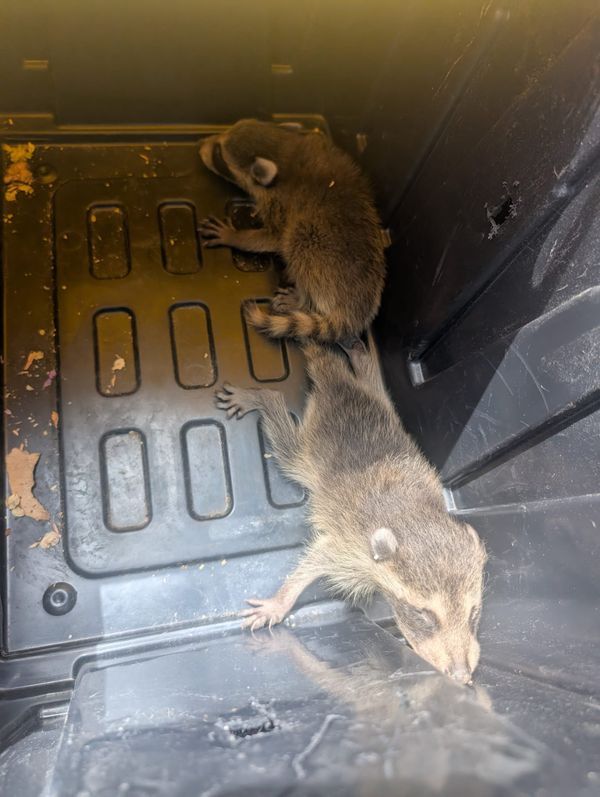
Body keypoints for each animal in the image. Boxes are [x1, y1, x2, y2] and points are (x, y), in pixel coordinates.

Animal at [199, 119, 386, 343]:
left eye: (219, 155)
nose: (201, 145)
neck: (288, 154)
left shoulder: (280, 204)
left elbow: (273, 238)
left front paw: (233, 236)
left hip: (316, 249)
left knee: (300, 243)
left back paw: (301, 297)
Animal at [215, 341, 487, 683]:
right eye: (423, 614)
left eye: (473, 612)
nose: (462, 677)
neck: (416, 519)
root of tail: (338, 384)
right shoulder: (351, 547)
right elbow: (315, 558)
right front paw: (281, 599)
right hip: (305, 455)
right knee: (285, 437)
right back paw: (263, 397)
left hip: (383, 404)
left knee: (373, 383)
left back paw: (360, 359)